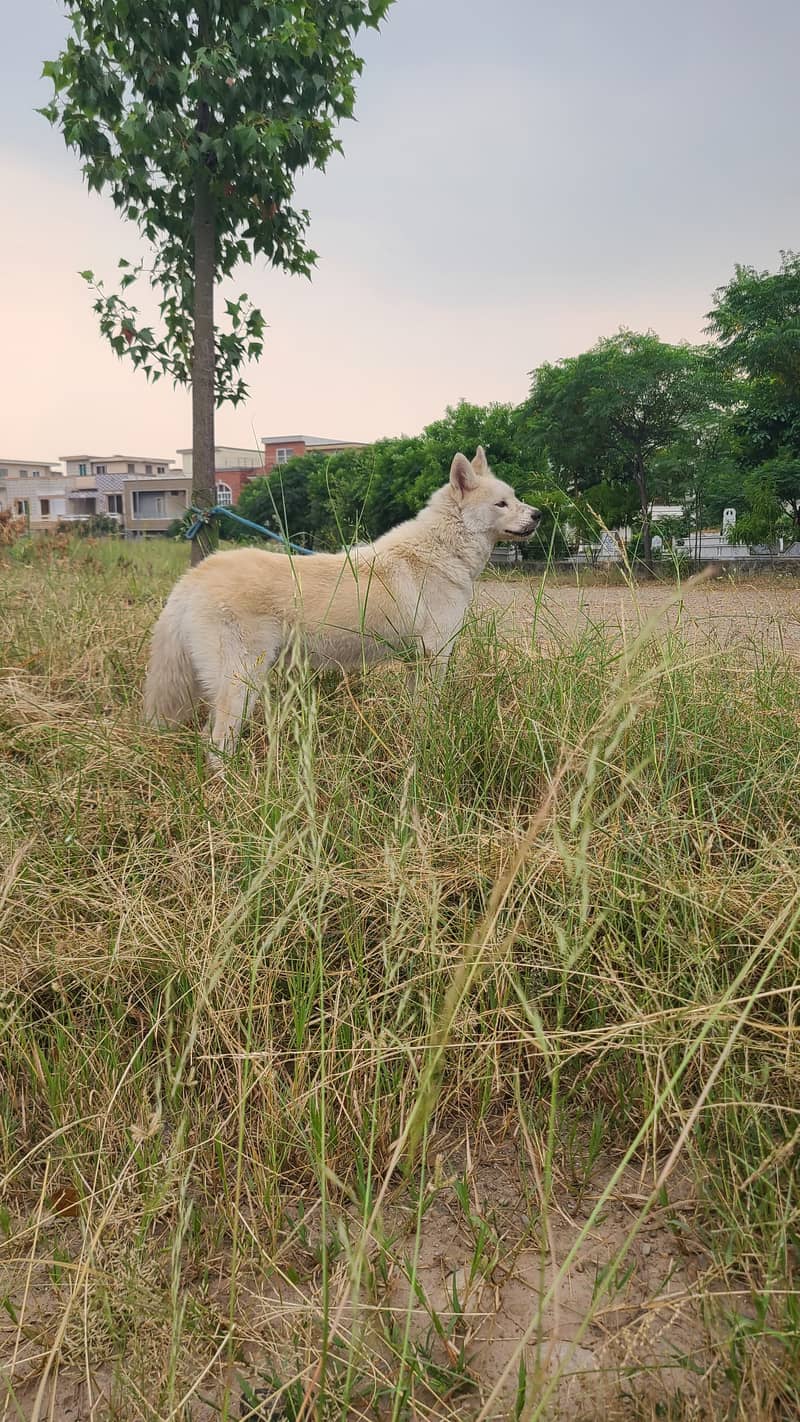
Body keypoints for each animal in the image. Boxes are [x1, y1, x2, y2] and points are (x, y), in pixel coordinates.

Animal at [144, 446, 542, 762]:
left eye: (516, 497)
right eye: (502, 504)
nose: (539, 514)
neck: (442, 550)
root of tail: (195, 576)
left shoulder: (417, 662)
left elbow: (416, 712)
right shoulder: (435, 656)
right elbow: (430, 711)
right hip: (241, 683)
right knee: (216, 744)